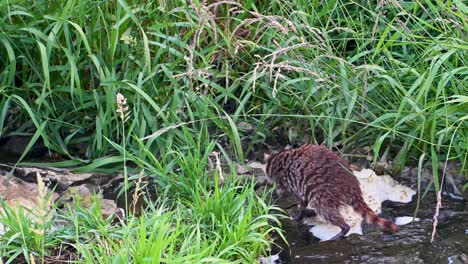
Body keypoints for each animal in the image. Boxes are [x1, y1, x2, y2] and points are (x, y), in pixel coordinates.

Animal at [266, 144, 396, 239]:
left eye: (268, 172)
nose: (269, 182)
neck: (282, 157)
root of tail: (352, 185)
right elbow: (304, 199)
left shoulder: (290, 178)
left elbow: (296, 196)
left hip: (325, 191)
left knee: (326, 211)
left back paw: (344, 229)